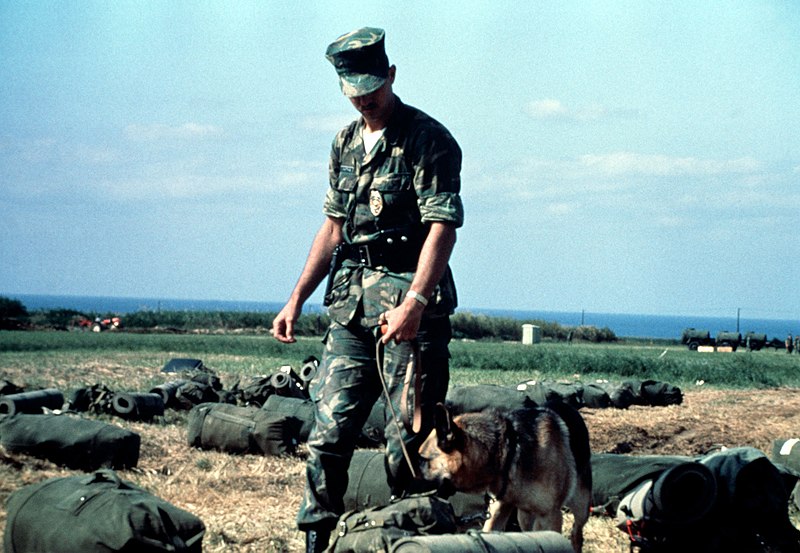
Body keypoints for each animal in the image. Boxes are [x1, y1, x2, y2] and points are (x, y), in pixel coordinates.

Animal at [418, 398, 592, 548]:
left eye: (423, 459)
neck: (508, 451)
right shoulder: (499, 507)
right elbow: (488, 531)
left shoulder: (551, 516)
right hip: (524, 515)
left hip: (581, 507)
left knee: (577, 534)